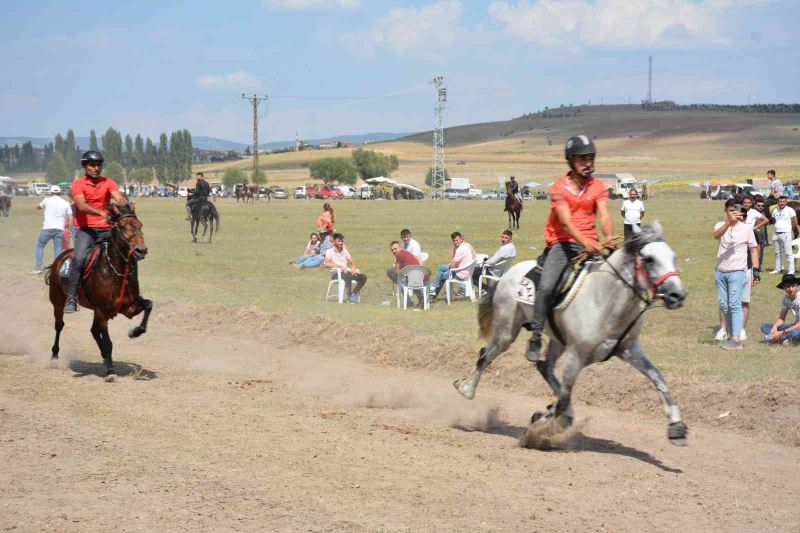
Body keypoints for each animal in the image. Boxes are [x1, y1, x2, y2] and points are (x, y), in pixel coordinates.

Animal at [45, 202, 153, 380]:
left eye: (140, 225)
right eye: (122, 227)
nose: (140, 250)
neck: (116, 271)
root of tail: (60, 258)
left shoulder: (129, 308)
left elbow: (149, 305)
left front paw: (135, 332)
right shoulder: (103, 311)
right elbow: (108, 342)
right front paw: (110, 372)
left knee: (94, 331)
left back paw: (103, 357)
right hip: (58, 302)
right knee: (59, 326)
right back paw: (54, 356)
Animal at [454, 220, 692, 444]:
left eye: (673, 257)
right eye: (649, 259)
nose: (677, 295)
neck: (606, 298)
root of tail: (507, 275)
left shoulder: (629, 348)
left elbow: (658, 377)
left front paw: (676, 427)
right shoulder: (575, 356)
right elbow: (565, 395)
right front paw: (542, 431)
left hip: (557, 340)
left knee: (544, 366)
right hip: (506, 331)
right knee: (486, 355)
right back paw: (466, 389)